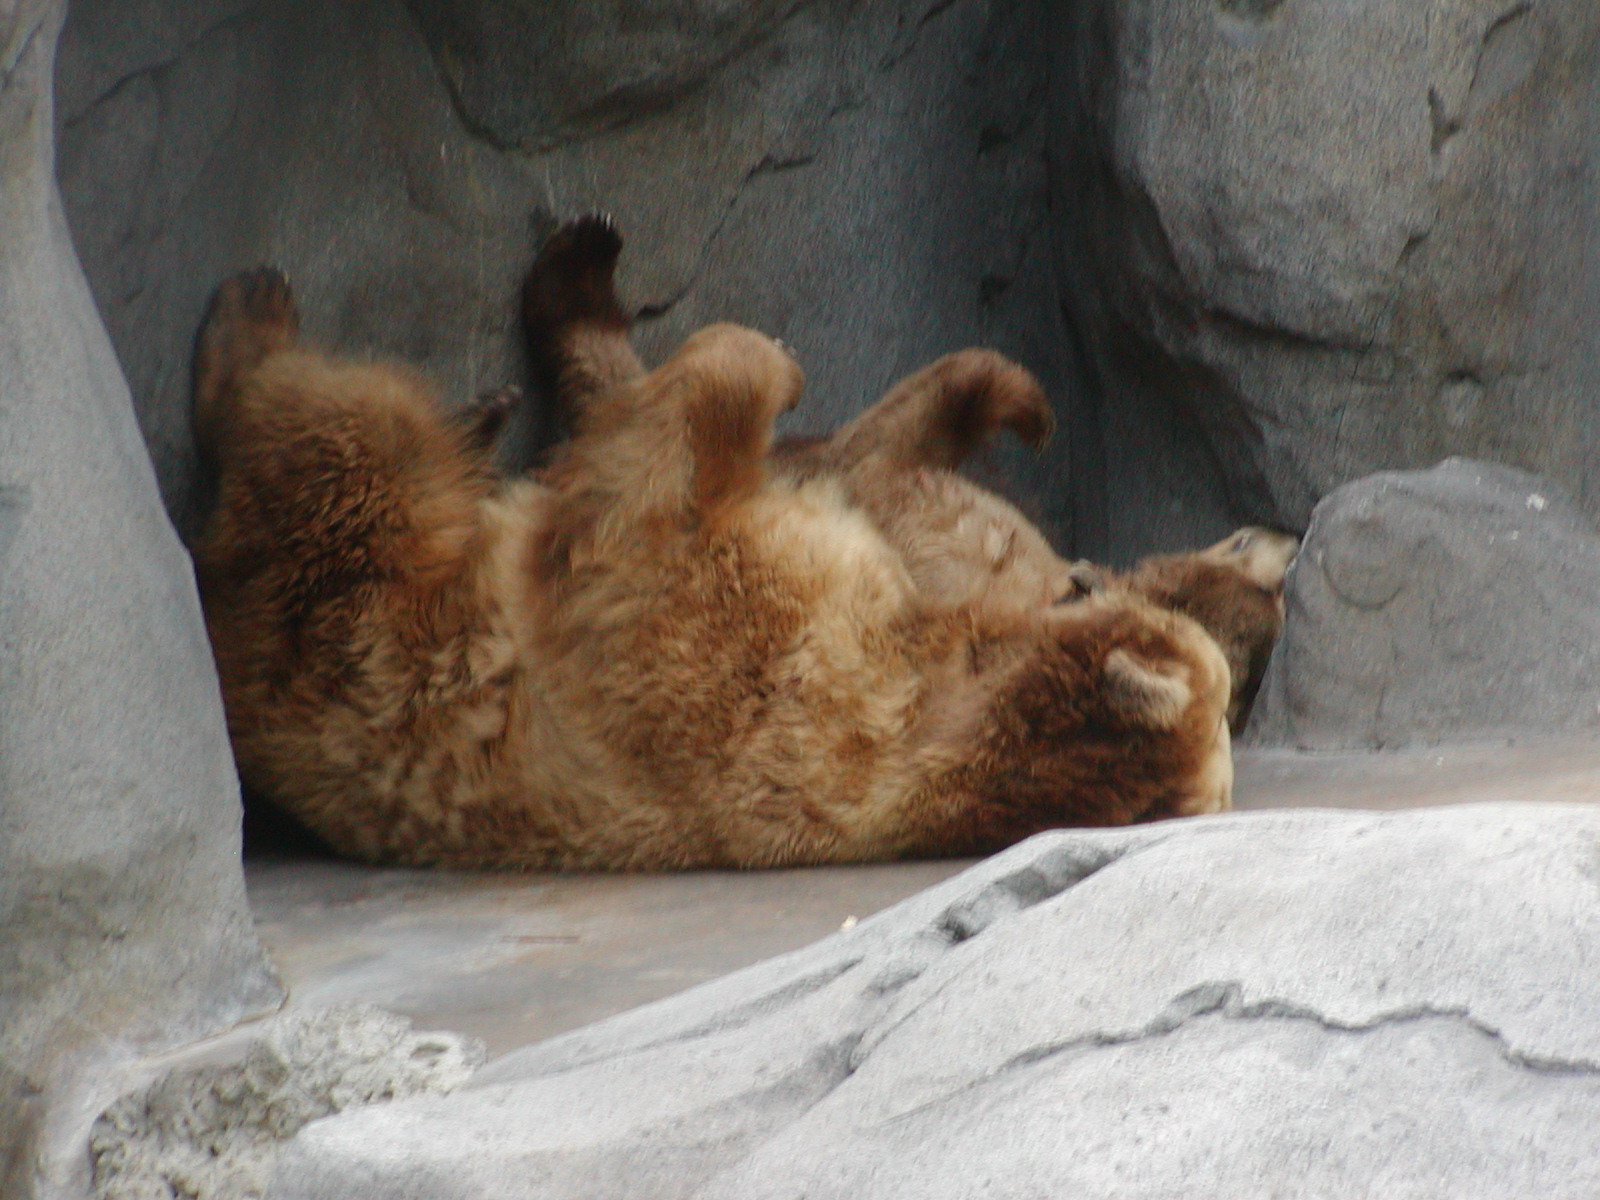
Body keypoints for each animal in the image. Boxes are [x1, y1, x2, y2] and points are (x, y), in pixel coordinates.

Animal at [192, 265, 1233, 871]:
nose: (1084, 573)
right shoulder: (893, 572)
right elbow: (868, 469)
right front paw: (1001, 395)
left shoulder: (733, 640)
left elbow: (663, 473)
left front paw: (764, 357)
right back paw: (481, 412)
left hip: (346, 606)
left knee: (348, 436)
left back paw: (254, 323)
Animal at [519, 213, 1297, 732]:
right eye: (1238, 541)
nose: (1280, 533)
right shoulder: (957, 520)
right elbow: (931, 420)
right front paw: (1031, 409)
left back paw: (581, 268)